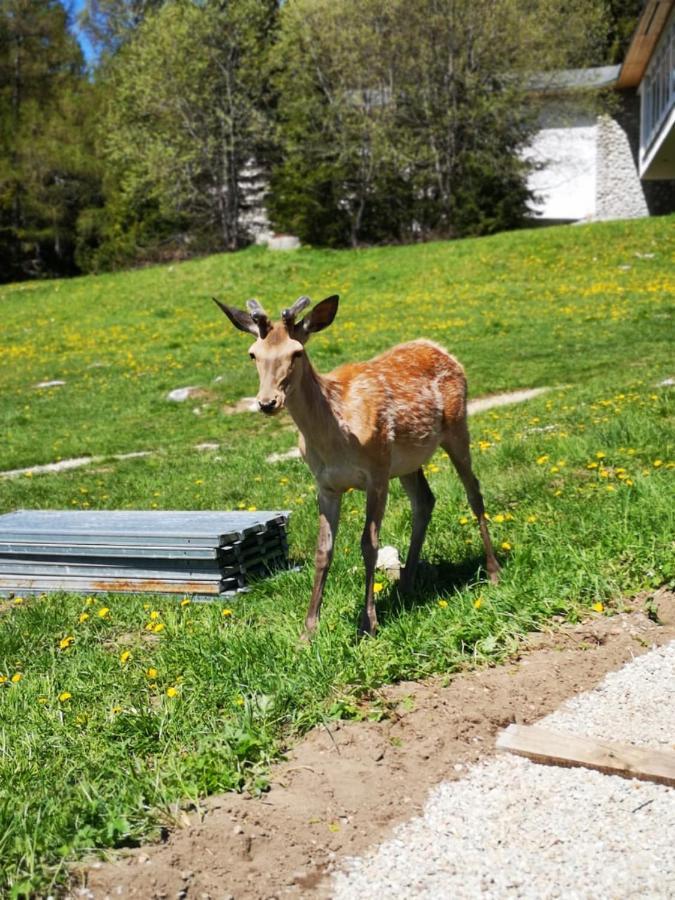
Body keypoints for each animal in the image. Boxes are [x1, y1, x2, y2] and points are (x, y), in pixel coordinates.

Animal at [214, 292, 500, 636]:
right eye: (252, 354)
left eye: (297, 352)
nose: (267, 402)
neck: (335, 438)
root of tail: (442, 349)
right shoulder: (325, 485)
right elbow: (323, 550)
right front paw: (308, 630)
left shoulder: (376, 473)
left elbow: (369, 544)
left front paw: (369, 623)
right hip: (405, 462)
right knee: (425, 500)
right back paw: (406, 584)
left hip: (457, 428)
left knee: (474, 492)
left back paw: (493, 571)